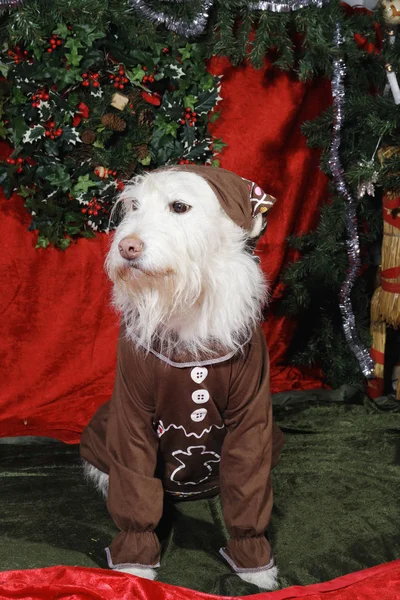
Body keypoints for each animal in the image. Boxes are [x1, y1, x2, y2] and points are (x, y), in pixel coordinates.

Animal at [80, 164, 282, 592]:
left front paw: (256, 567)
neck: (188, 300)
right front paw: (135, 566)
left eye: (179, 207)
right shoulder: (131, 413)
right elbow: (134, 481)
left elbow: (249, 482)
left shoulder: (253, 415)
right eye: (133, 206)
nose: (127, 248)